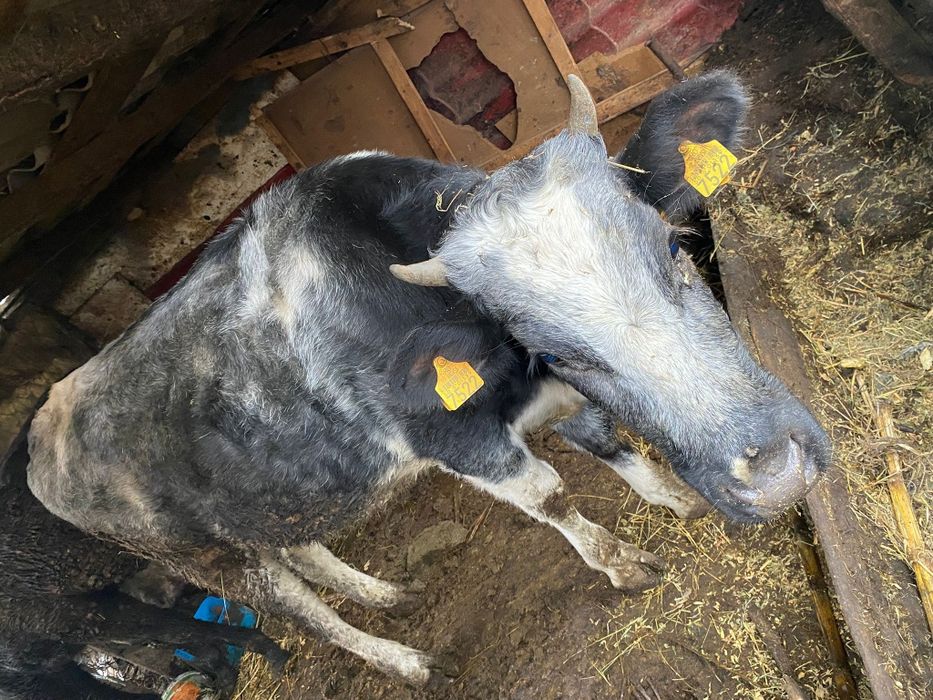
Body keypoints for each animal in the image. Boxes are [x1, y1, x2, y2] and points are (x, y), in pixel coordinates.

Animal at [26, 72, 830, 686]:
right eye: (549, 345)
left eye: (671, 245)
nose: (775, 476)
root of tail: (41, 432)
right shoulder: (459, 442)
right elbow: (552, 496)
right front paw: (622, 565)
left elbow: (608, 442)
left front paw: (670, 498)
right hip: (204, 559)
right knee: (300, 611)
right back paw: (403, 660)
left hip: (260, 511)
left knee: (305, 552)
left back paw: (386, 594)